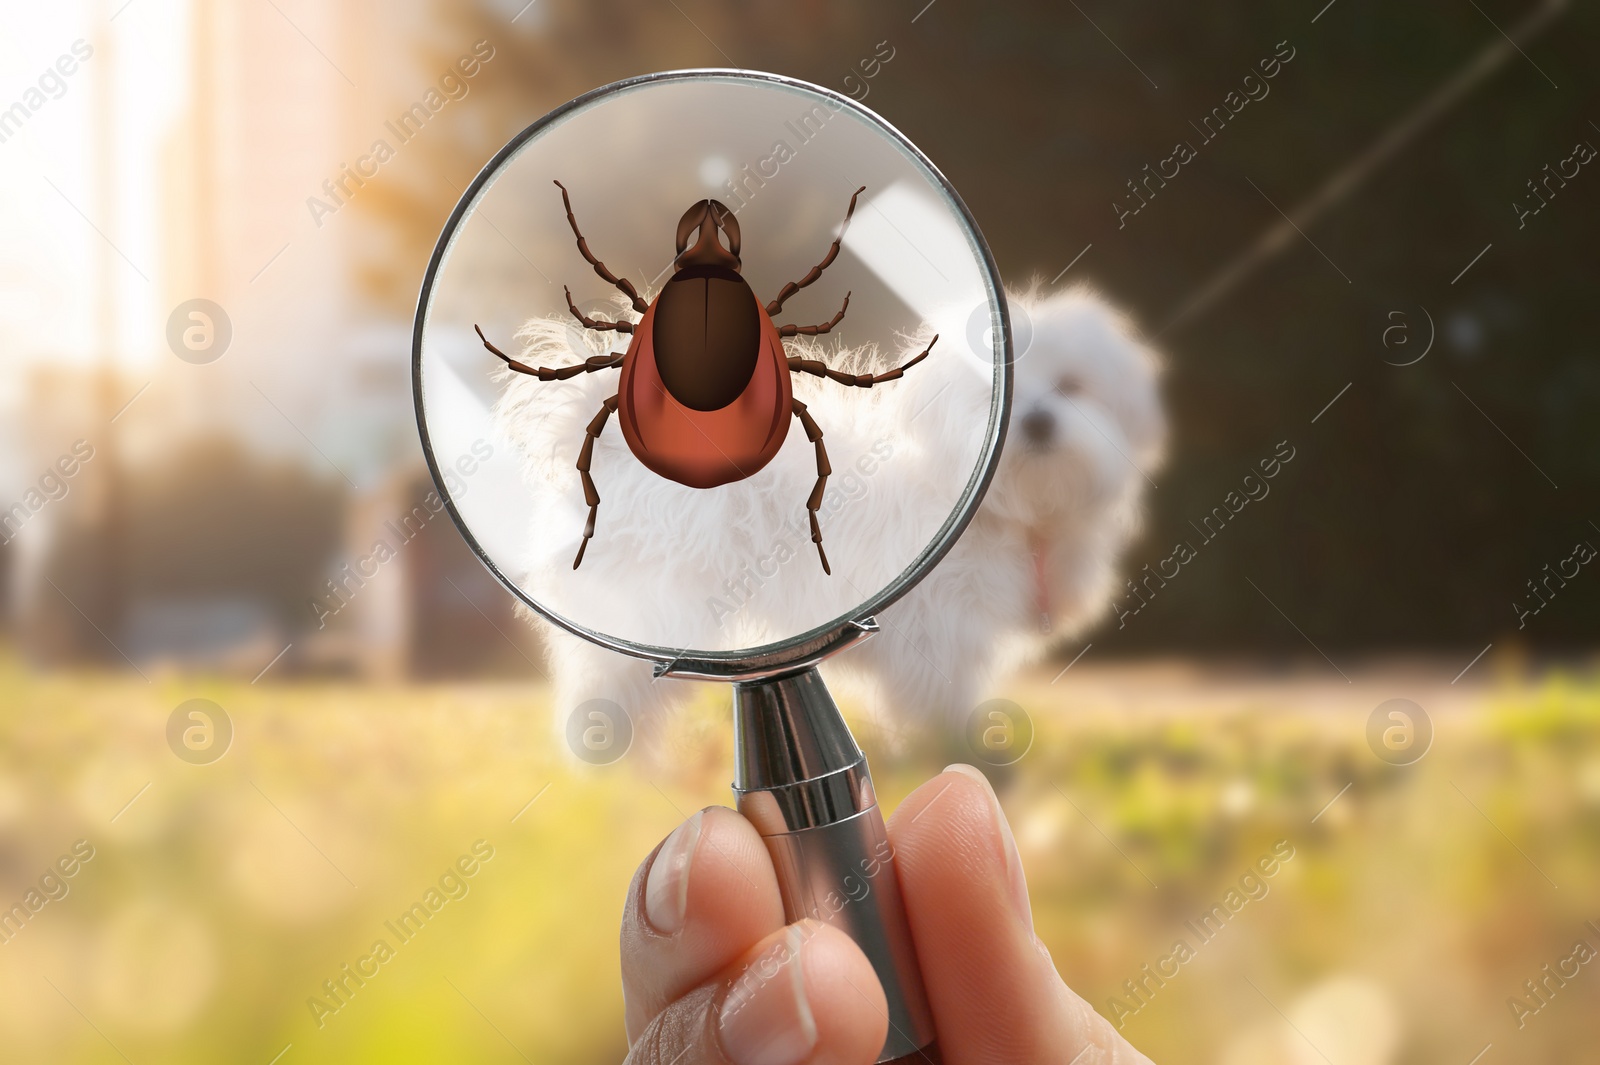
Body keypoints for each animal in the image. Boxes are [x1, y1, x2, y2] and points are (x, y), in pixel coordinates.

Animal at [486, 284, 1164, 745]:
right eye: (996, 390)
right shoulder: (939, 628)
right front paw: (959, 750)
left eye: (1072, 386)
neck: (1019, 510)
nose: (1039, 421)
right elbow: (943, 697)